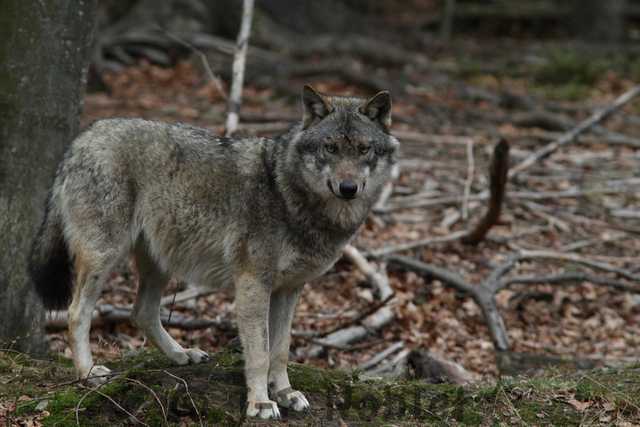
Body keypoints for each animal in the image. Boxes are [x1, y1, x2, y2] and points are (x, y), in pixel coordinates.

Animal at [29, 85, 398, 419]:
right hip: (104, 257)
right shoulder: (253, 284)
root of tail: (84, 136)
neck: (289, 193)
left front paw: (285, 393)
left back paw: (181, 355)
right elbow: (260, 353)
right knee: (77, 312)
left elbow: (281, 350)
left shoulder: (289, 289)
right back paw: (89, 373)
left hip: (160, 262)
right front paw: (260, 403)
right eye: (330, 148)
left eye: (364, 149)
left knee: (142, 312)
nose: (348, 188)